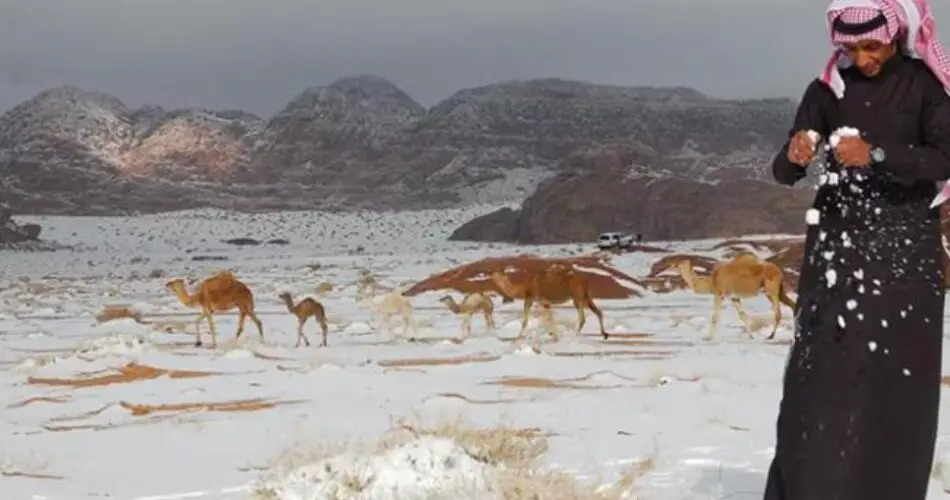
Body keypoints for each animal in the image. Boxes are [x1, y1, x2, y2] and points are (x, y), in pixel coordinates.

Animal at [672, 252, 800, 342]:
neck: (711, 281)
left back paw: (771, 336)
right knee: (792, 306)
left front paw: (708, 338)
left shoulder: (720, 294)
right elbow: (742, 315)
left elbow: (714, 317)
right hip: (778, 291)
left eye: (679, 264)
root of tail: (779, 271)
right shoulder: (733, 297)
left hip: (771, 289)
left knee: (778, 313)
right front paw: (751, 336)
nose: (673, 265)